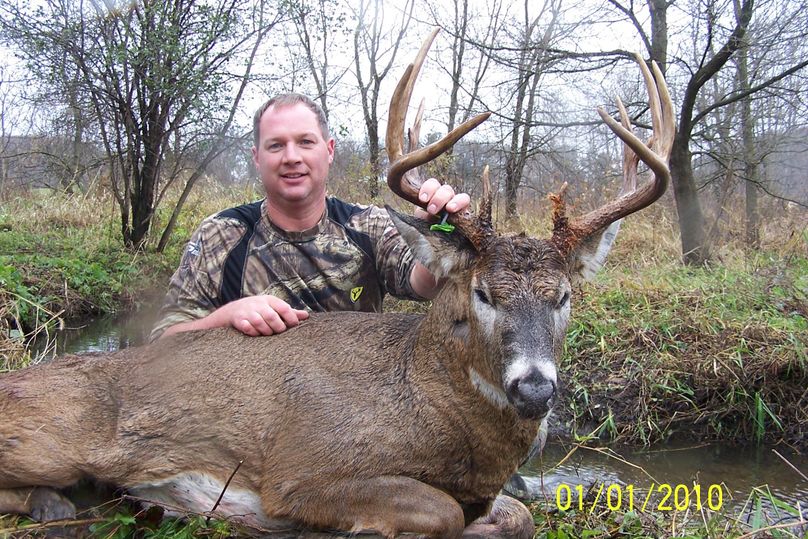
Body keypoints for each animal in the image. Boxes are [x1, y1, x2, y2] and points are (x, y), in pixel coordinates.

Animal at [0, 30, 674, 539]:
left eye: (564, 297)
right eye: (484, 293)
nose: (535, 390)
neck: (428, 399)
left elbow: (516, 515)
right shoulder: (302, 470)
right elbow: (441, 511)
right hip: (55, 434)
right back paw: (61, 502)